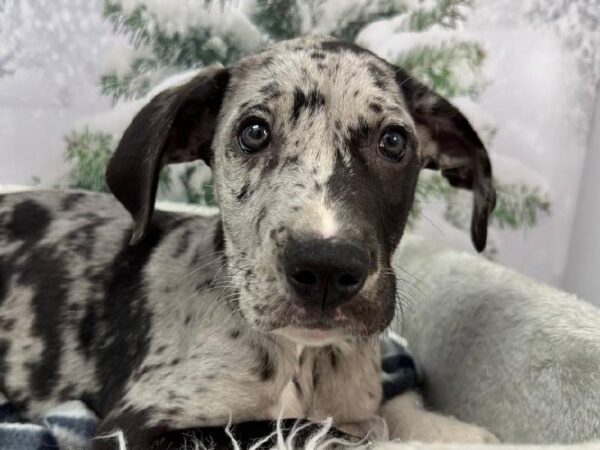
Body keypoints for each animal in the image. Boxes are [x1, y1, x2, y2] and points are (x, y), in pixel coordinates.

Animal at [0, 36, 496, 450]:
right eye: (254, 132)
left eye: (393, 141)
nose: (326, 268)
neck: (304, 359)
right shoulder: (133, 427)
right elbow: (313, 429)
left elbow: (386, 416)